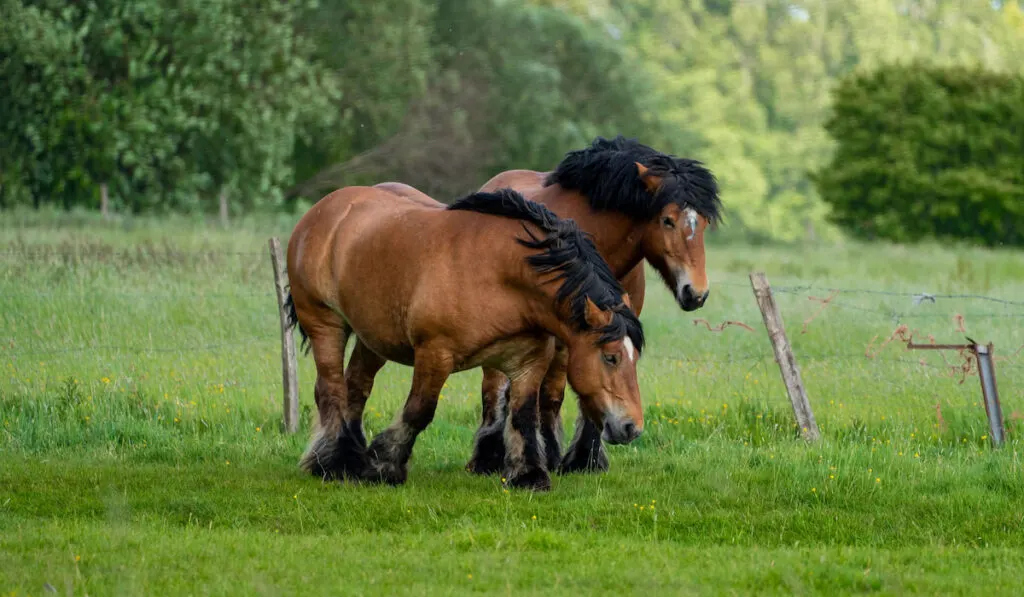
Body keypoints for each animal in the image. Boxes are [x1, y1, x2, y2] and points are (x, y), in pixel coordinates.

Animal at [284, 186, 643, 491]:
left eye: (634, 358)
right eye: (610, 356)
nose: (632, 428)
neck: (501, 274)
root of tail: (322, 211)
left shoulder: (529, 363)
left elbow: (524, 415)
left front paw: (528, 475)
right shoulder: (435, 353)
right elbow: (419, 410)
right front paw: (383, 466)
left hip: (372, 338)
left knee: (356, 387)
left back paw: (350, 456)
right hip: (325, 324)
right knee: (331, 390)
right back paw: (334, 463)